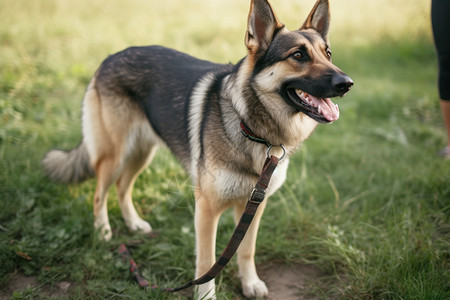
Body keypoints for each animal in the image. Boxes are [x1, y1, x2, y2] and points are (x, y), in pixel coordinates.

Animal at [42, 0, 352, 298]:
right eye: (298, 56)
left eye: (328, 54)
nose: (347, 83)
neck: (250, 127)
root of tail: (109, 58)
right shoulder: (206, 209)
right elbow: (207, 262)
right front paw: (206, 296)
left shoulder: (252, 206)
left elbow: (245, 250)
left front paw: (250, 283)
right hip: (115, 155)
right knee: (100, 194)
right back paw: (104, 231)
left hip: (141, 153)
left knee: (122, 188)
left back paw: (134, 224)